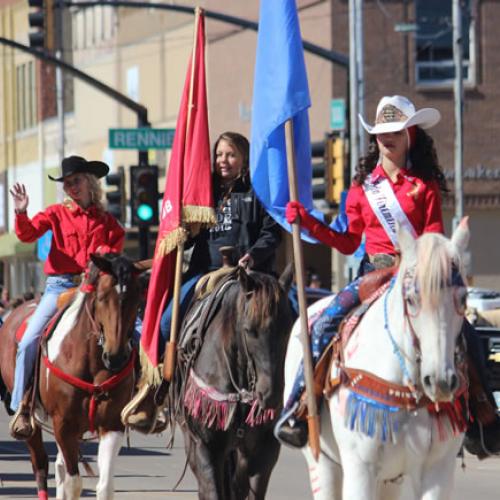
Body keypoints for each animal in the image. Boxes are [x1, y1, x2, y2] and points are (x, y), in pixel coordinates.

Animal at [0, 254, 146, 500]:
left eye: (138, 298)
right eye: (101, 297)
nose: (116, 357)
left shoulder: (111, 424)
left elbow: (105, 486)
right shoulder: (64, 424)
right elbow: (73, 483)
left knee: (58, 467)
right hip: (34, 425)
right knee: (41, 466)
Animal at [171, 264, 294, 498]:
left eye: (287, 328)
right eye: (249, 330)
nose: (270, 395)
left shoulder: (263, 451)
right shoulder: (205, 447)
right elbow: (212, 491)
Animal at [284, 223, 470, 500]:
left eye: (464, 299)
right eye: (411, 299)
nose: (440, 381)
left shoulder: (439, 470)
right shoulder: (361, 468)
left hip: (390, 479)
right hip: (322, 462)